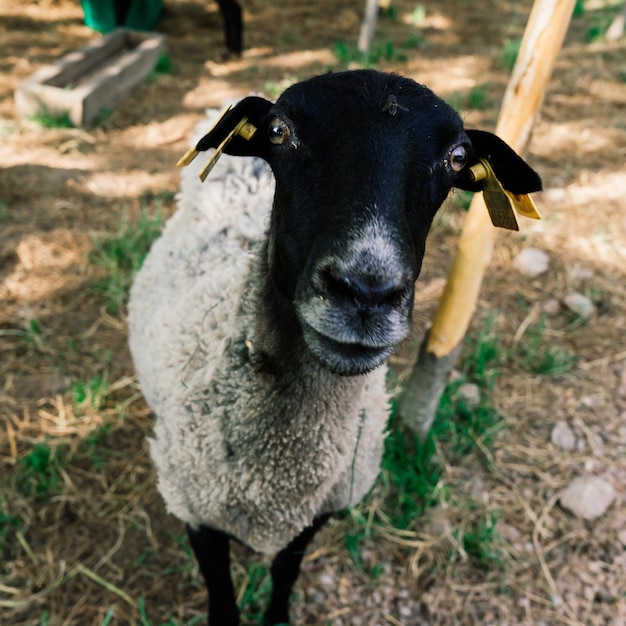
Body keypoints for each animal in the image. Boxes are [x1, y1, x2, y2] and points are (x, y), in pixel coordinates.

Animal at [128, 69, 540, 624]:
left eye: (457, 157)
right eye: (278, 131)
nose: (366, 291)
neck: (279, 476)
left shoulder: (316, 515)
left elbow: (286, 572)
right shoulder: (196, 513)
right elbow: (222, 599)